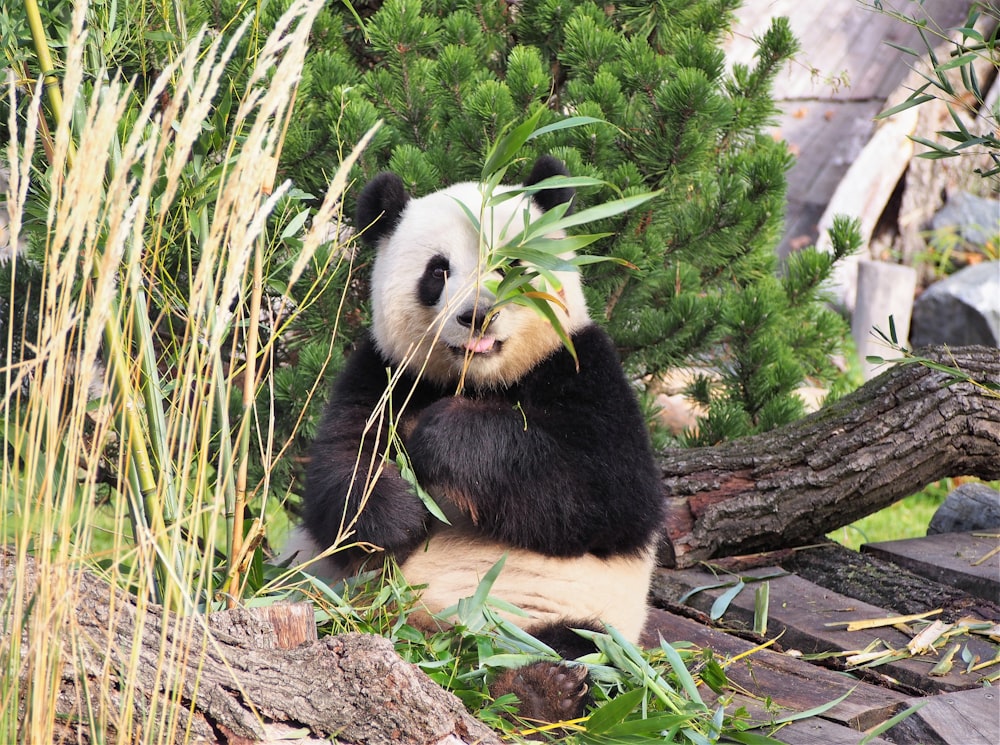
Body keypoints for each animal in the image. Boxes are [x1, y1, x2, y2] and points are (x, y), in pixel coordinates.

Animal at [290, 154, 664, 724]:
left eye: (513, 264)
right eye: (438, 271)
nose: (478, 314)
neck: (478, 381)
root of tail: (429, 639)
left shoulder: (582, 366)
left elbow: (609, 493)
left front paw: (442, 437)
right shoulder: (385, 373)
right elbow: (339, 471)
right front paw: (398, 514)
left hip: (560, 617)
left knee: (585, 647)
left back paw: (541, 687)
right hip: (331, 594)